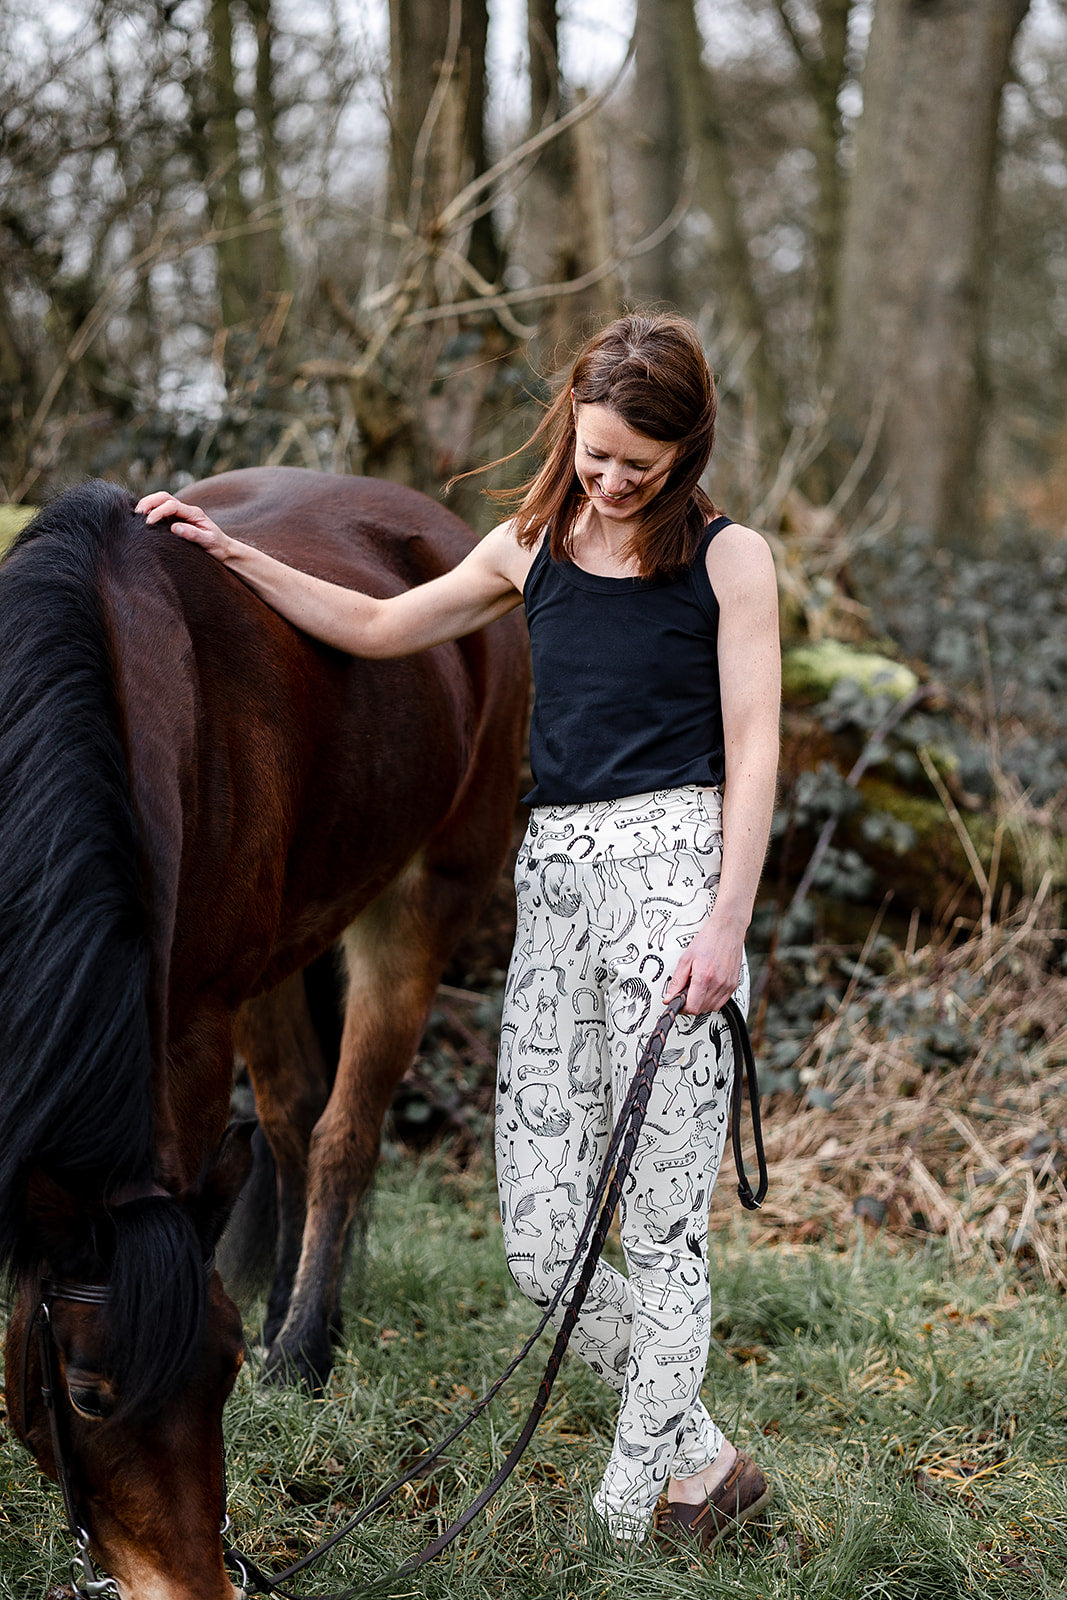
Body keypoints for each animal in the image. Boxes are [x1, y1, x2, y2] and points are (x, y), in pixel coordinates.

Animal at [0, 467, 529, 1600]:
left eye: (226, 1367)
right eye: (88, 1392)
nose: (203, 1587)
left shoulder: (192, 1027)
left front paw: (283, 1351)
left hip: (416, 909)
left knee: (340, 1134)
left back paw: (310, 1344)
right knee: (287, 1122)